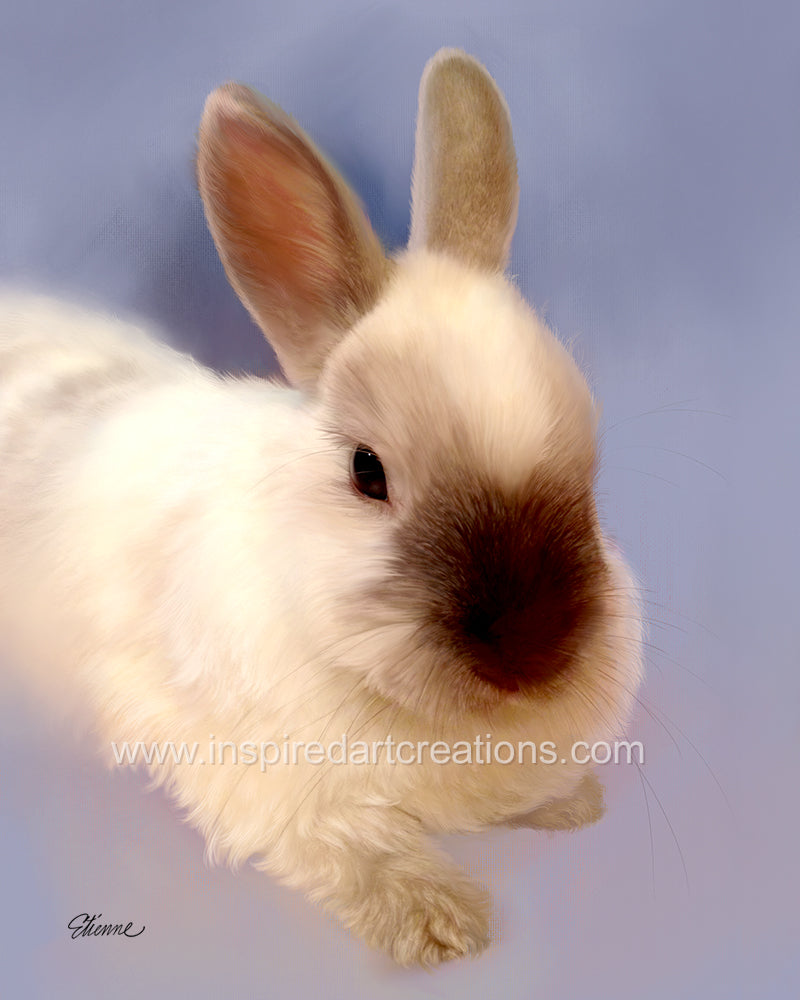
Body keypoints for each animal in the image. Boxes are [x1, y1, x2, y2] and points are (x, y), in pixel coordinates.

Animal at [0, 48, 643, 966]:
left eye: (590, 464)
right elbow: (348, 840)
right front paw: (439, 923)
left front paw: (572, 802)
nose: (532, 646)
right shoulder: (255, 774)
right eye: (367, 472)